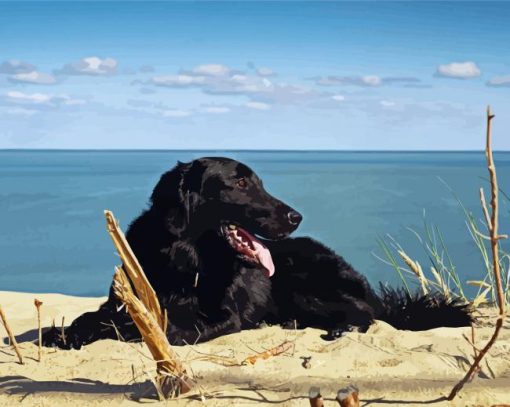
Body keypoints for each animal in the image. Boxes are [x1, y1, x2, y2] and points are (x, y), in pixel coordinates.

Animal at [41, 158, 472, 350]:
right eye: (241, 183)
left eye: (258, 182)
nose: (297, 216)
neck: (188, 260)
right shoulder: (121, 298)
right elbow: (91, 316)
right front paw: (62, 332)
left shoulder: (222, 317)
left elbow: (170, 330)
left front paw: (124, 332)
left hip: (302, 281)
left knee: (367, 312)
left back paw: (341, 327)